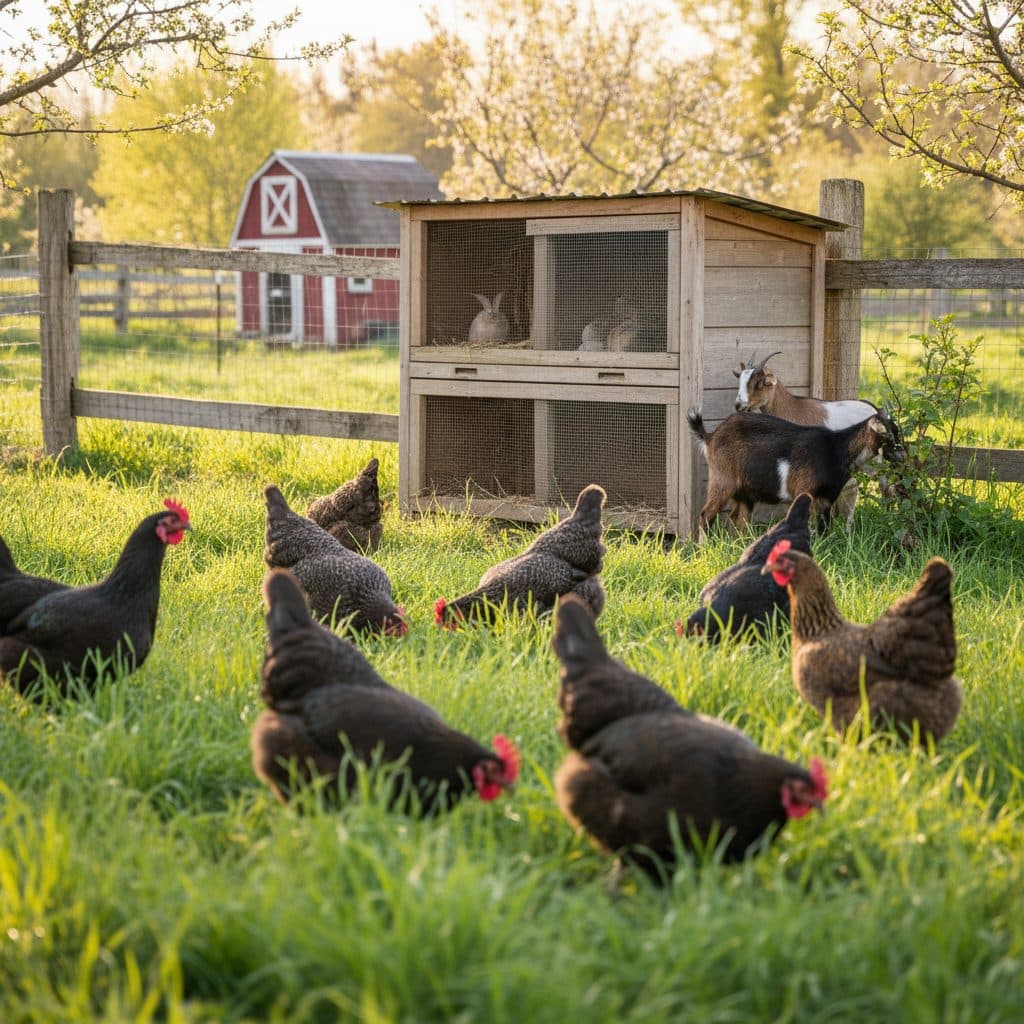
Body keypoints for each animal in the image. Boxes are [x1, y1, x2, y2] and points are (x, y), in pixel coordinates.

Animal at [687, 409, 905, 536]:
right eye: (889, 436)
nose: (903, 456)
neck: (836, 450)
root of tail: (710, 436)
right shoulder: (804, 490)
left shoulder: (827, 499)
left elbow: (824, 527)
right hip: (723, 480)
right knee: (705, 515)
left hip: (745, 492)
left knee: (737, 519)